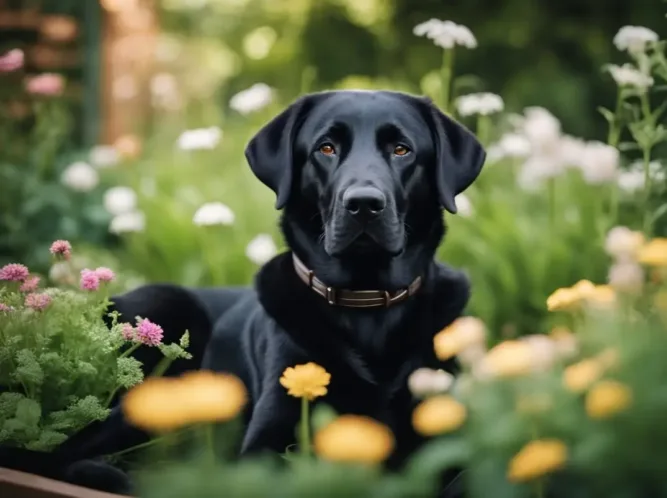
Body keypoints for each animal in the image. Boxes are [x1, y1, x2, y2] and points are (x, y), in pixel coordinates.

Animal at [0, 90, 482, 494]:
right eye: (326, 148)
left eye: (402, 150)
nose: (363, 203)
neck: (365, 303)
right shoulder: (264, 445)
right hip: (162, 322)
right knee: (71, 452)